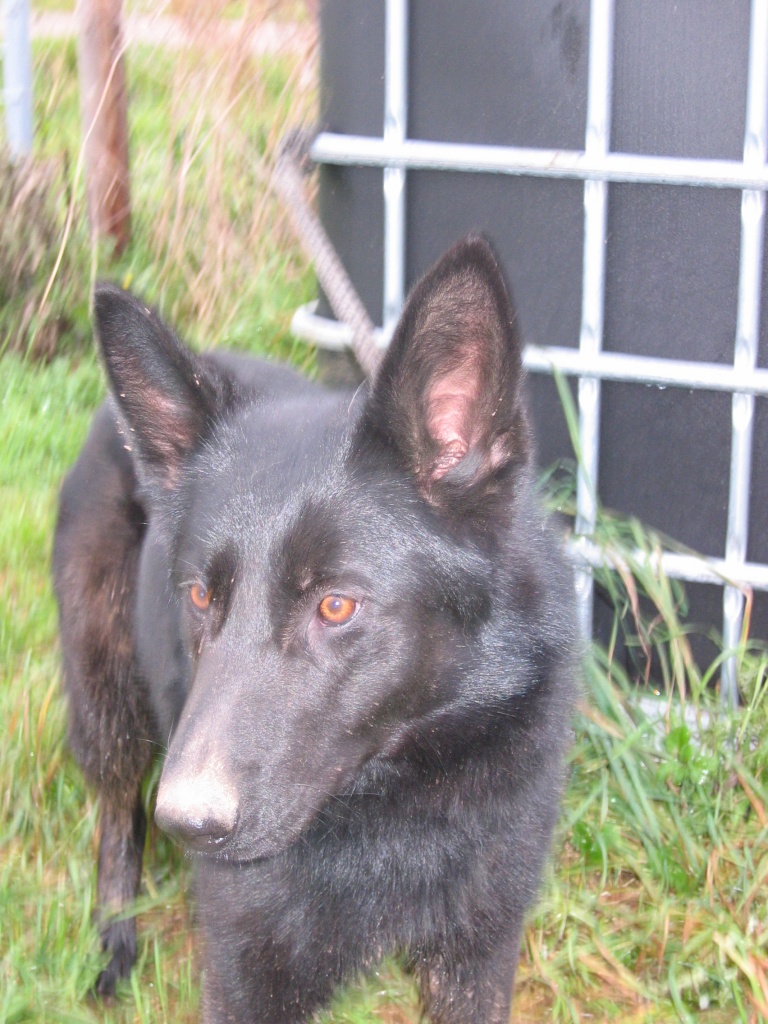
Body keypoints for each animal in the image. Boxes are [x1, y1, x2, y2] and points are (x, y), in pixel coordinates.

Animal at [53, 236, 578, 1023]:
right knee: (116, 813)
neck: (391, 798)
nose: (187, 823)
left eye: (335, 606)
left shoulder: (477, 951)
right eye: (200, 595)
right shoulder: (245, 971)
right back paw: (114, 941)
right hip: (103, 696)